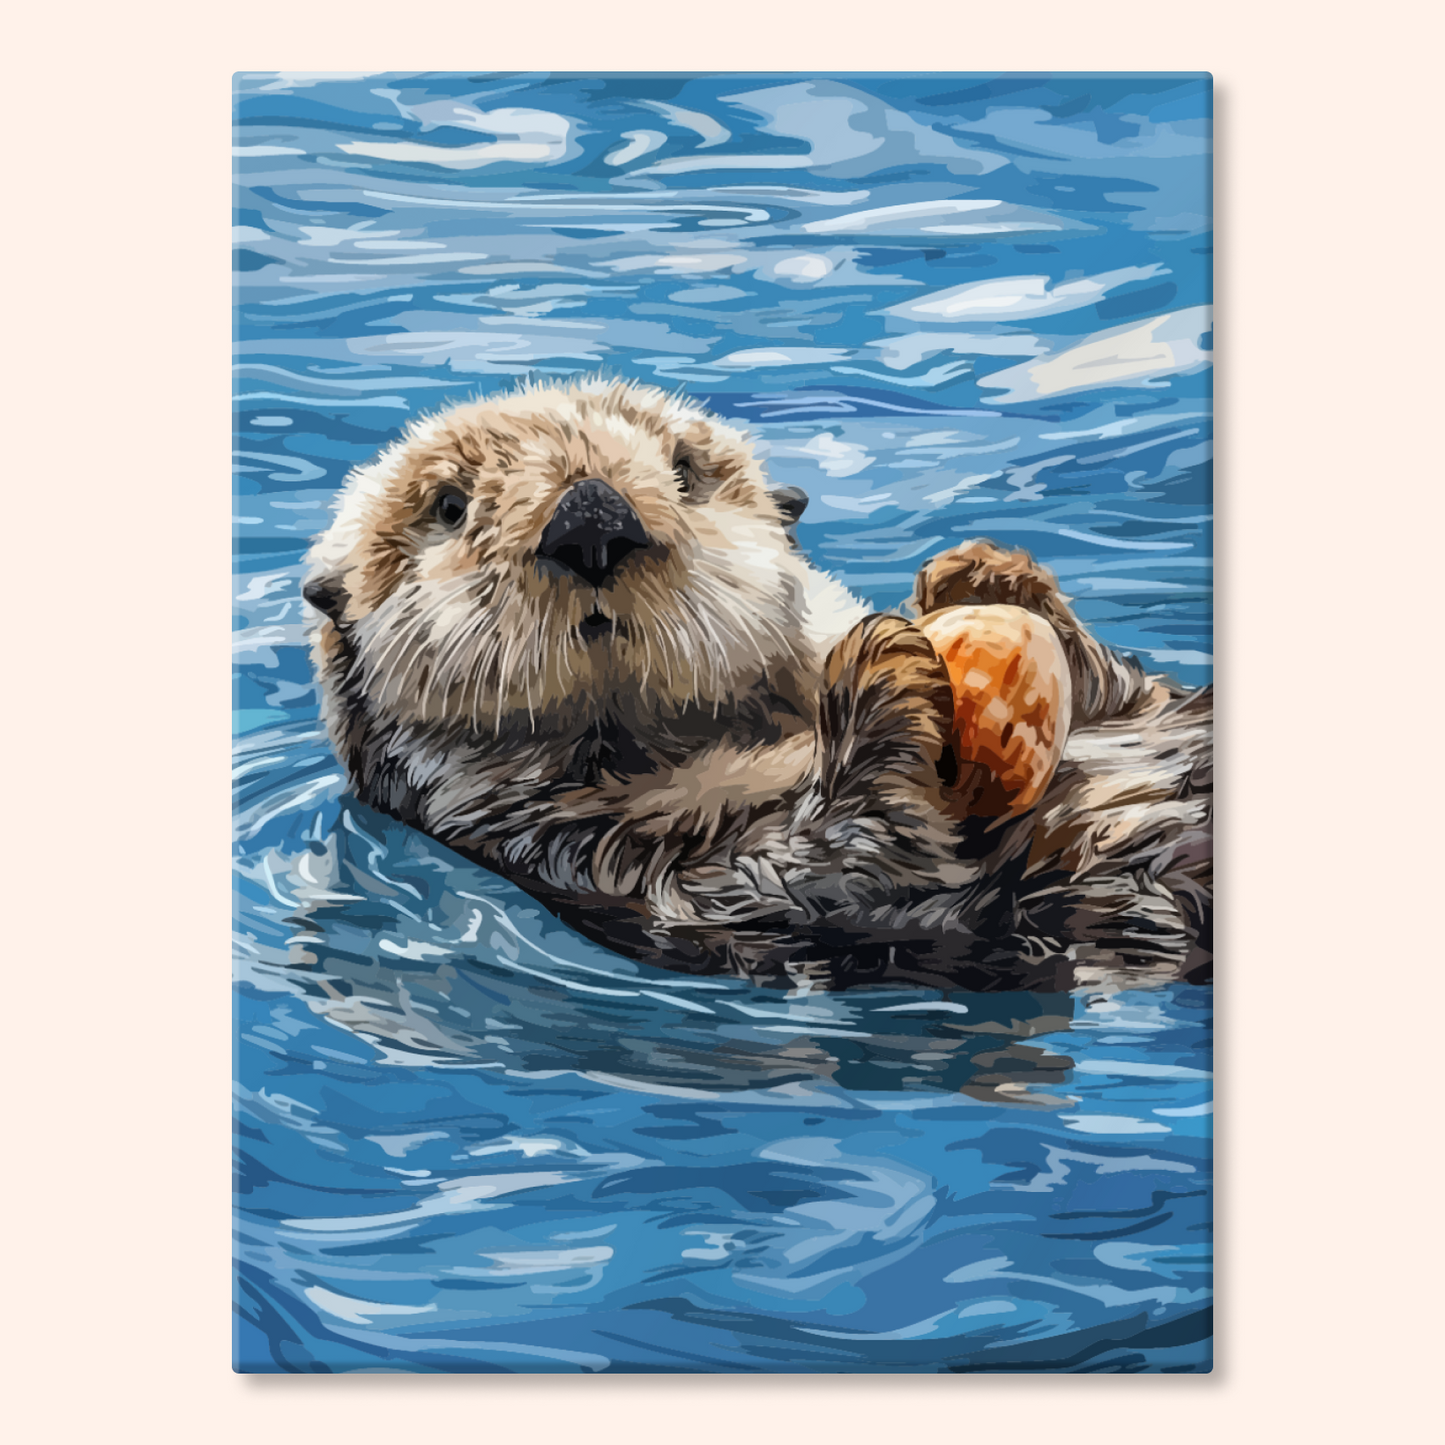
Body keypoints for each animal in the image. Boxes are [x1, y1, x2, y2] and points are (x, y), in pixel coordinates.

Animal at [303, 378, 1211, 991]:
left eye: (684, 469)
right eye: (450, 506)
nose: (591, 519)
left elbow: (1135, 691)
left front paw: (989, 577)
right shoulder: (616, 863)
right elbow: (839, 854)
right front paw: (883, 667)